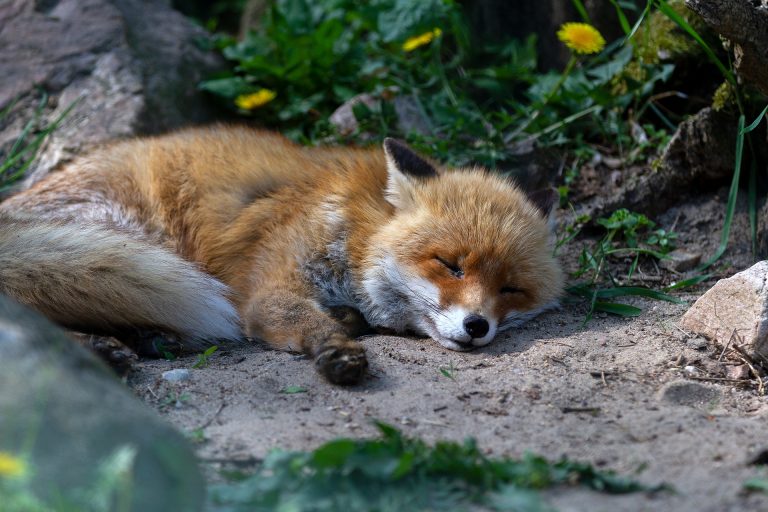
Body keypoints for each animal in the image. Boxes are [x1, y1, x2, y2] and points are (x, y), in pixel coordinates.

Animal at [0, 126, 563, 384]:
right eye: (449, 265)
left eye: (510, 289)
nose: (477, 326)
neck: (354, 226)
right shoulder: (270, 288)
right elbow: (304, 321)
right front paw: (335, 349)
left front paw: (348, 324)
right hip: (130, 238)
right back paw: (99, 349)